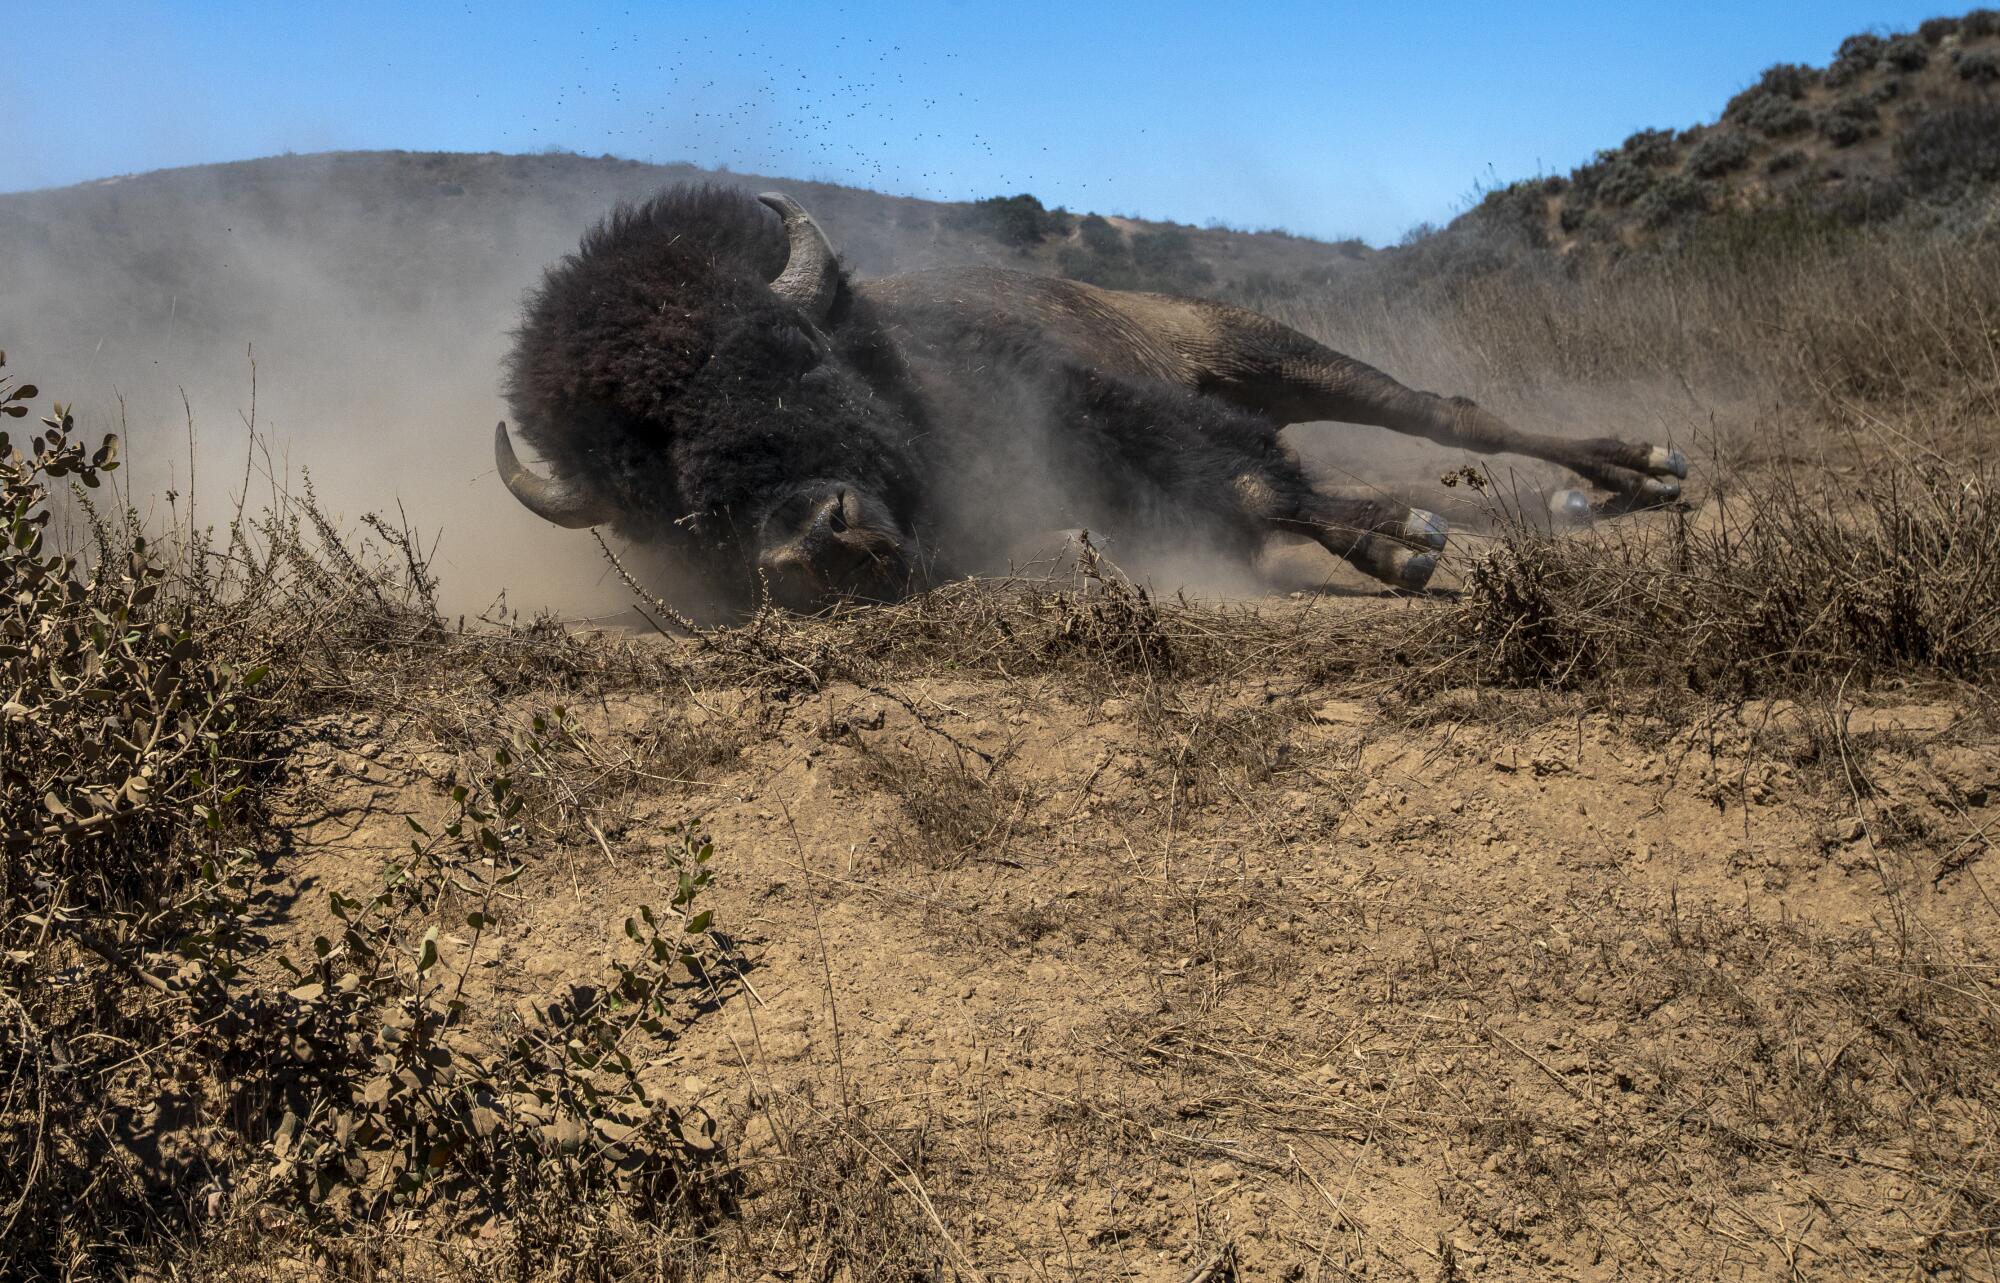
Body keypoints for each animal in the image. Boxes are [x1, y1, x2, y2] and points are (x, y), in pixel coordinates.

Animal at [492, 184, 1680, 607]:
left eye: (786, 359)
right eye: (653, 495)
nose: (806, 543)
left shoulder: (1101, 406)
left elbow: (1249, 483)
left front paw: (1401, 539)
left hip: (1263, 351)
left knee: (1440, 411)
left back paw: (1640, 470)